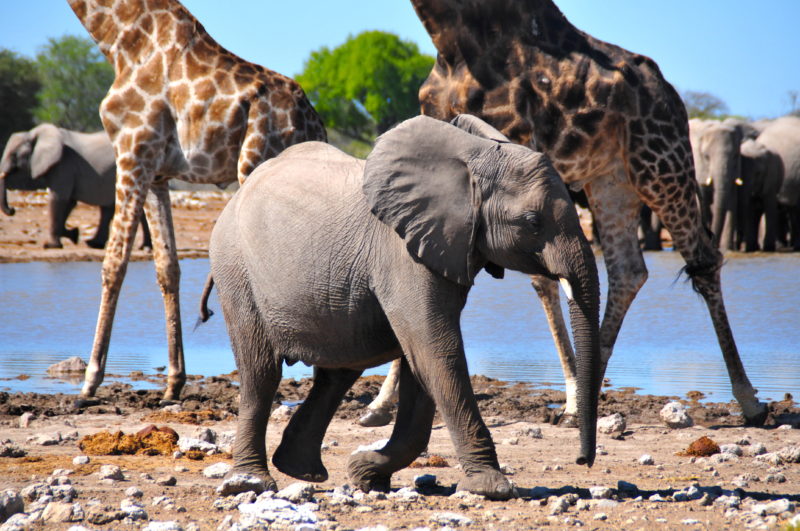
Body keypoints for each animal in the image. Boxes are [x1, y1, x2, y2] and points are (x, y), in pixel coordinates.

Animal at [0, 124, 151, 249]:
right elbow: (69, 202)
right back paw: (95, 244)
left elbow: (58, 199)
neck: (34, 133)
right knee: (108, 209)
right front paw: (73, 234)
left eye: (14, 155)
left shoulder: (64, 165)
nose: (12, 210)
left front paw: (50, 246)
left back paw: (144, 247)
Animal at [69, 0, 324, 400]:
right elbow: (167, 268)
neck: (118, 39)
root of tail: (315, 123)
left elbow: (114, 262)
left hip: (257, 170)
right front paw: (174, 383)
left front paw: (91, 379)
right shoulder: (157, 174)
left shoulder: (132, 152)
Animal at [206, 114, 600, 500]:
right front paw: (493, 488)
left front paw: (365, 474)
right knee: (261, 373)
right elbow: (436, 350)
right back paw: (252, 483)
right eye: (532, 222)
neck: (475, 156)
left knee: (337, 373)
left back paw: (301, 471)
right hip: (235, 267)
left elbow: (422, 361)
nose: (582, 461)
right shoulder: (403, 252)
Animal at [360, 0, 764, 426]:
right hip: (611, 180)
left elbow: (542, 280)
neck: (453, 37)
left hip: (660, 162)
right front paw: (379, 405)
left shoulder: (520, 143)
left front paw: (570, 396)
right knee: (629, 270)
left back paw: (749, 401)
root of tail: (671, 94)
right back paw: (589, 395)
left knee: (703, 260)